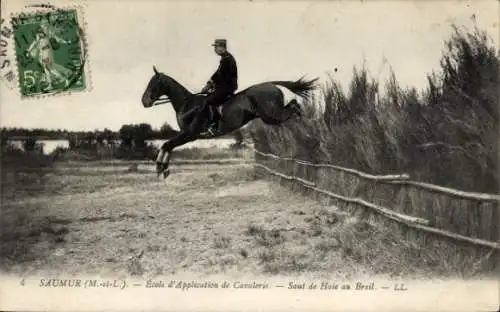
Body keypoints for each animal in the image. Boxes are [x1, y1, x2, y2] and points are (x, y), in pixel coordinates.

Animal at [141, 66, 316, 178]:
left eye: (153, 84)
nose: (144, 101)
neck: (187, 104)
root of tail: (272, 84)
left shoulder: (190, 134)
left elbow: (166, 144)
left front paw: (160, 167)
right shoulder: (186, 135)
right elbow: (168, 146)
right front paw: (162, 169)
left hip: (272, 115)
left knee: (294, 107)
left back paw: (306, 126)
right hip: (271, 117)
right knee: (293, 107)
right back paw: (304, 127)